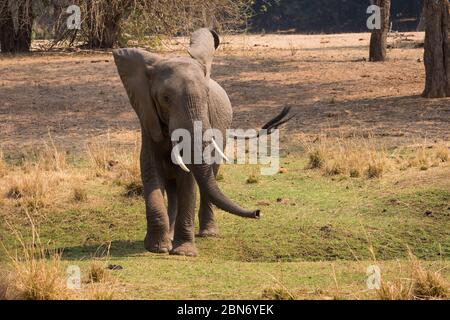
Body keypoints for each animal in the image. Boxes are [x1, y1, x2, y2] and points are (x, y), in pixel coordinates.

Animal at [113, 28, 292, 256]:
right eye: (165, 98)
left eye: (206, 95)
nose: (258, 212)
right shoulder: (148, 119)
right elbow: (151, 172)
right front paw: (158, 248)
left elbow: (189, 180)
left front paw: (183, 252)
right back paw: (170, 237)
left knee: (210, 174)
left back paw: (208, 234)